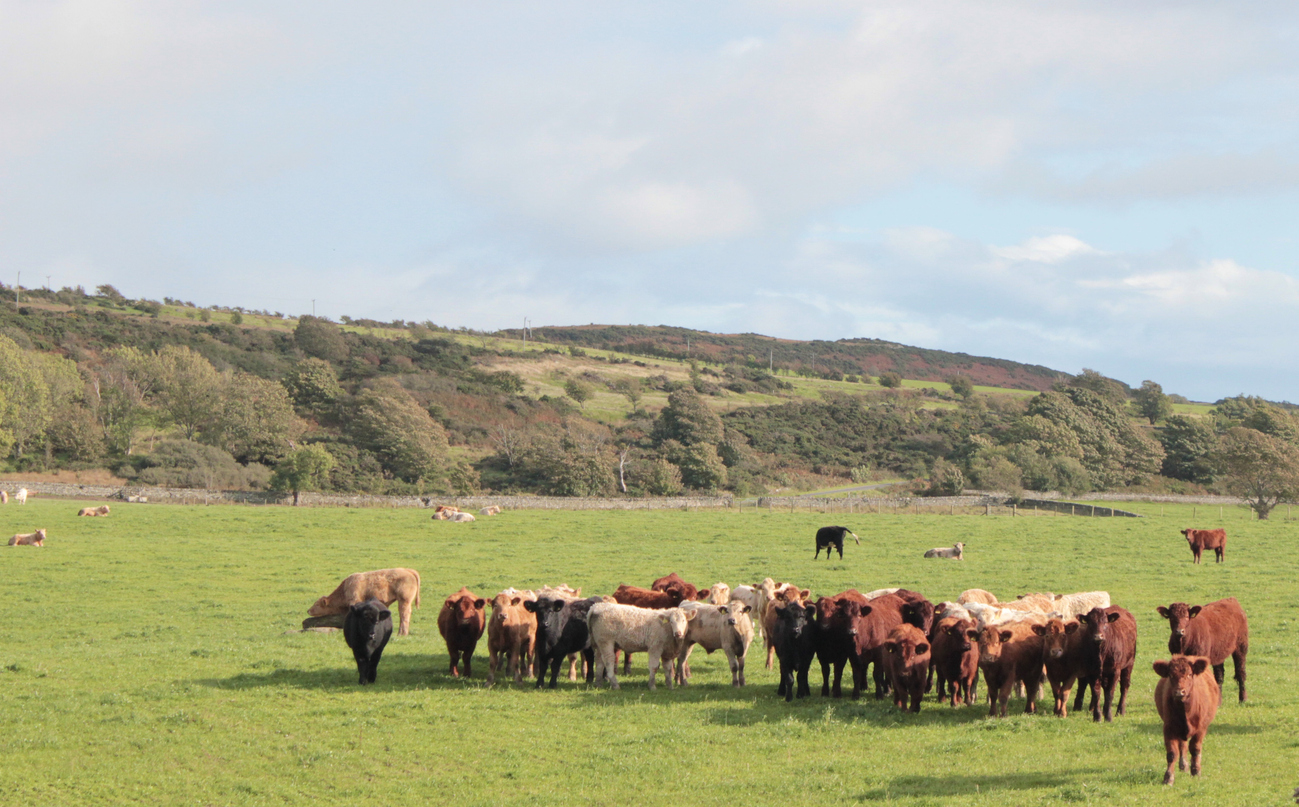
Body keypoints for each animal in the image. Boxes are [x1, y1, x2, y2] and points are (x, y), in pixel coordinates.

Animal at [1154, 655, 1220, 785]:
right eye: (1171, 675)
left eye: (1189, 674)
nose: (1179, 692)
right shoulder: (1169, 728)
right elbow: (1172, 753)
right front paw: (1168, 777)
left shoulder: (1201, 729)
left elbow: (1195, 749)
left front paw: (1196, 771)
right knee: (1182, 745)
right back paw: (1183, 765)